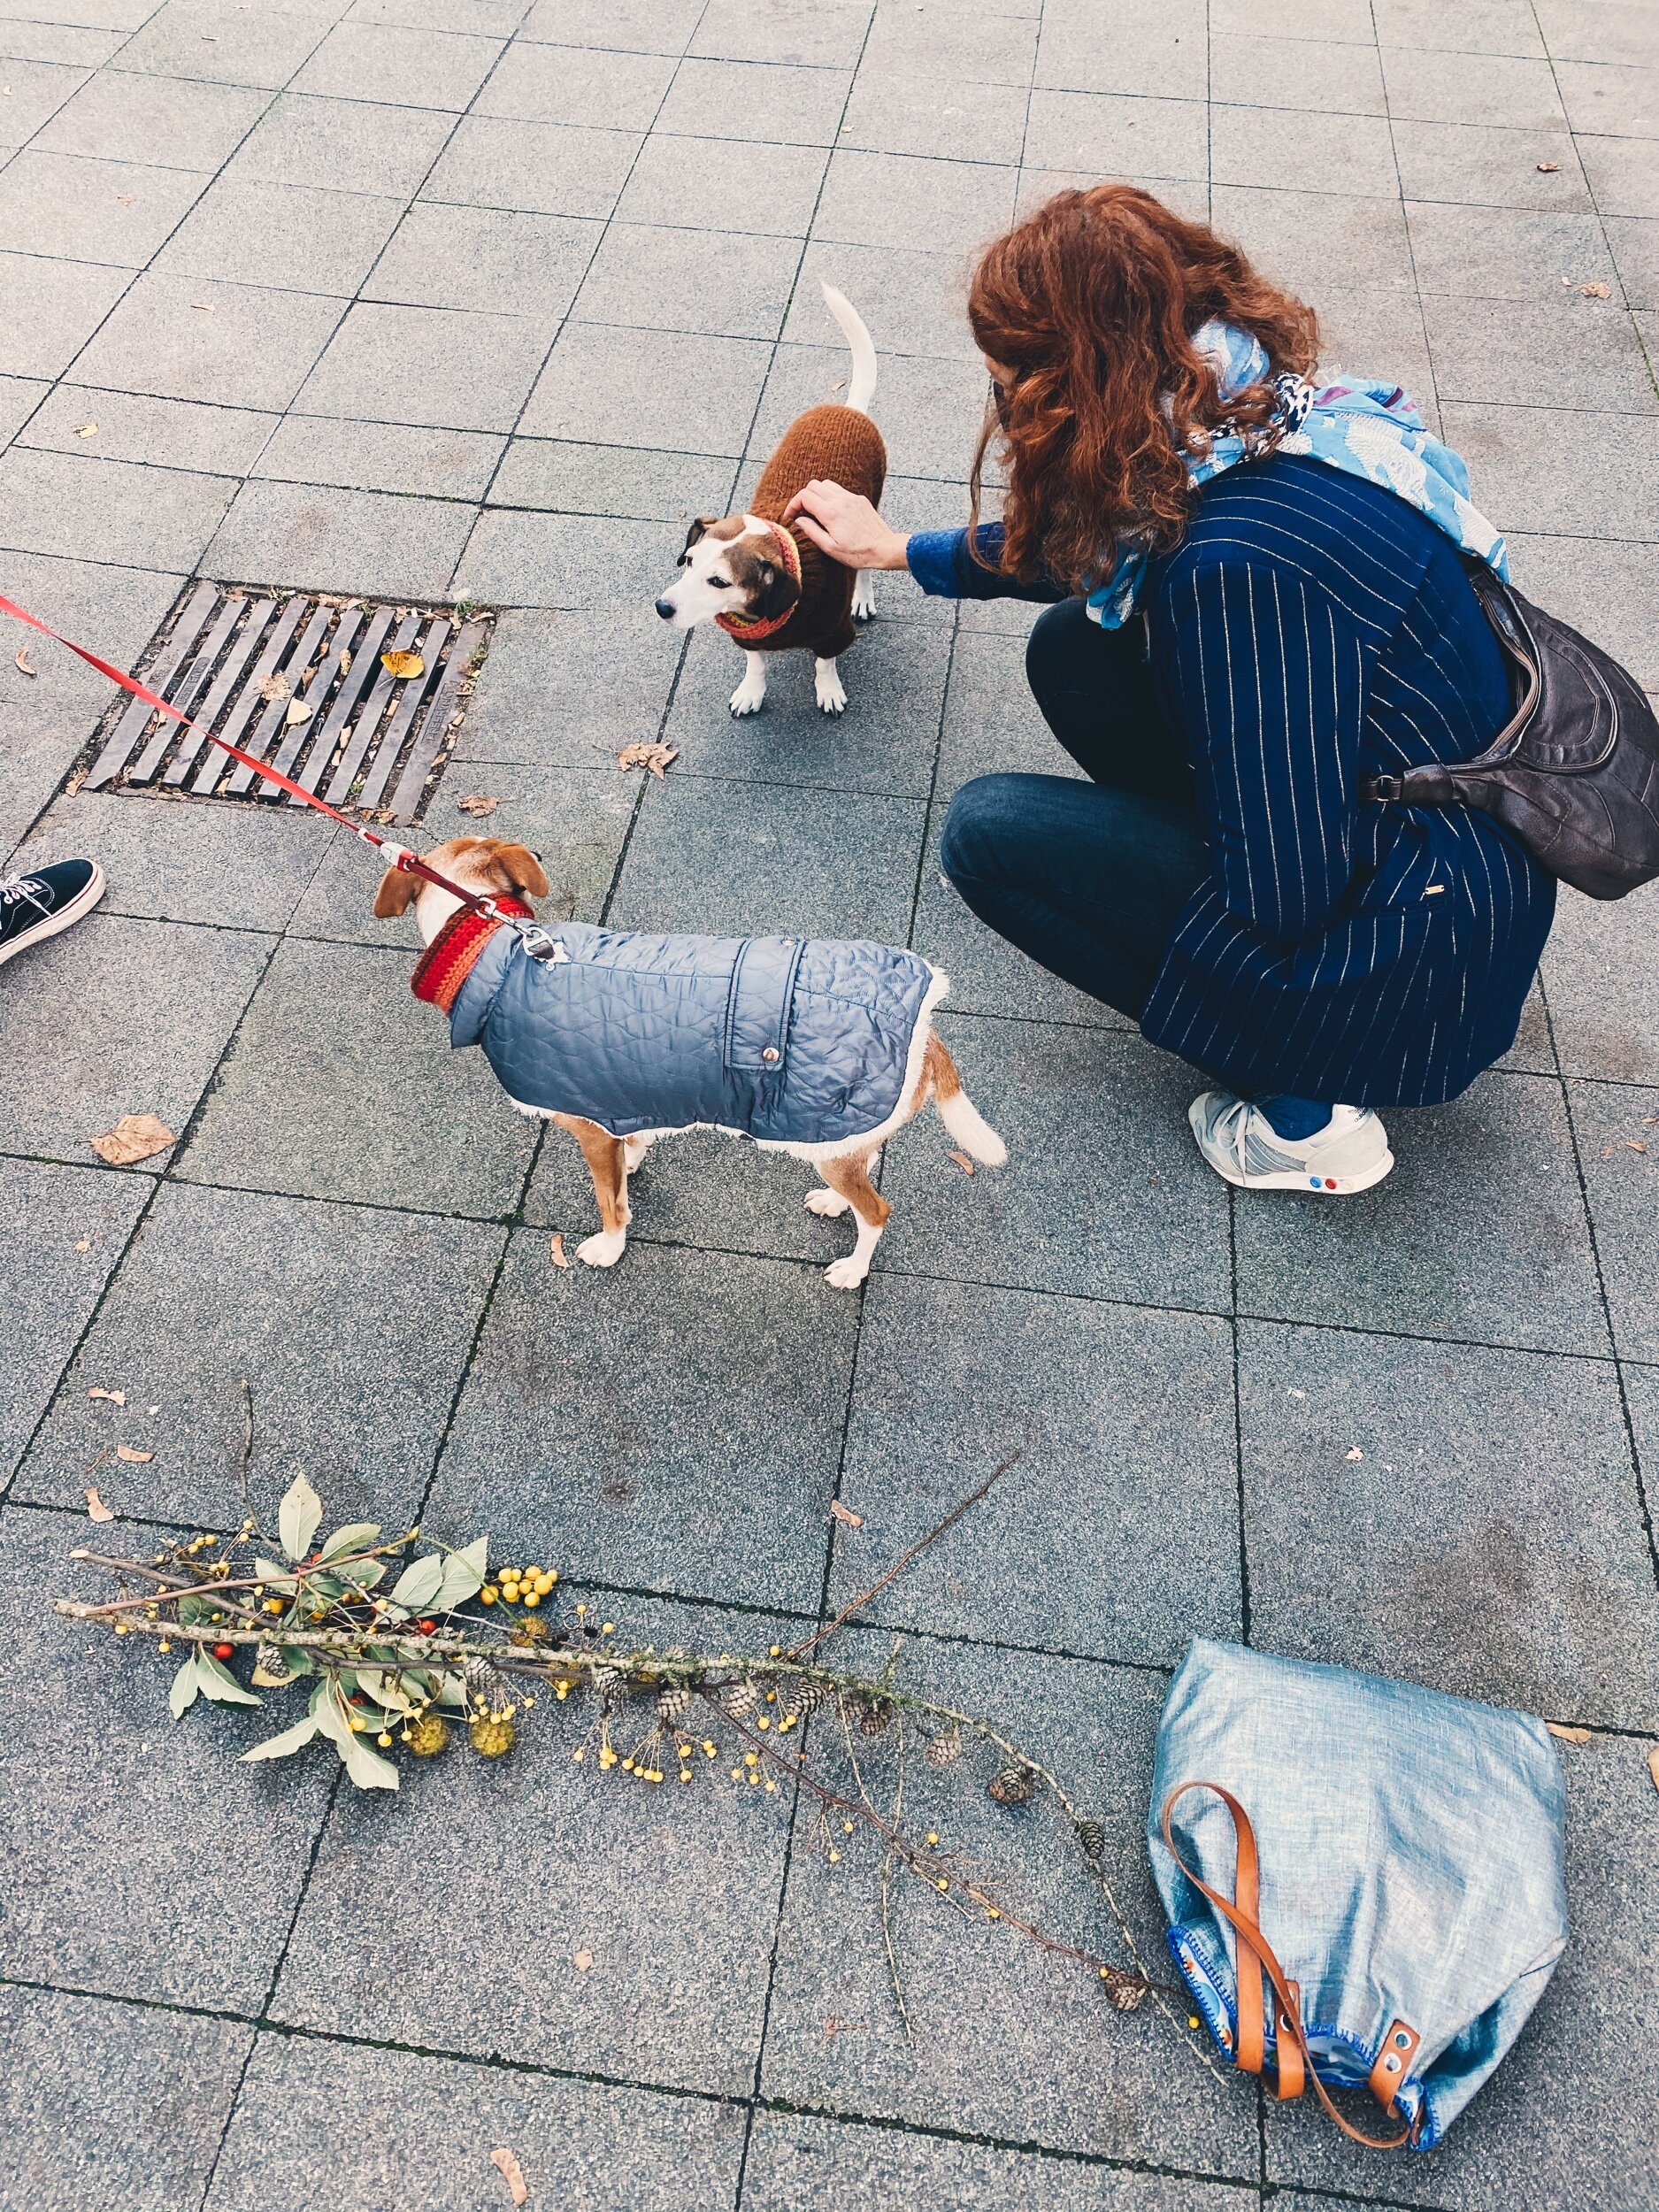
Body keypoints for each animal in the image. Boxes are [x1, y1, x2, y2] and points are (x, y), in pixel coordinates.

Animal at [376, 836, 1009, 1292]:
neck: (499, 947)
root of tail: (926, 1032)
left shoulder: (587, 1125)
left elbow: (610, 1203)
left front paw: (609, 1246)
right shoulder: (618, 1100)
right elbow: (630, 1147)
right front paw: (635, 1161)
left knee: (878, 1211)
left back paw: (854, 1267)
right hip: (841, 1127)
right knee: (865, 1162)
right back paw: (835, 1201)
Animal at [655, 285, 889, 717]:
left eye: (719, 581)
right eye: (689, 561)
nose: (663, 607)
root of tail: (846, 408)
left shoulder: (833, 632)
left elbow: (824, 663)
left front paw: (828, 690)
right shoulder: (750, 639)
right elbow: (756, 662)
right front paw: (751, 690)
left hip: (864, 515)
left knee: (864, 563)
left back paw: (862, 597)